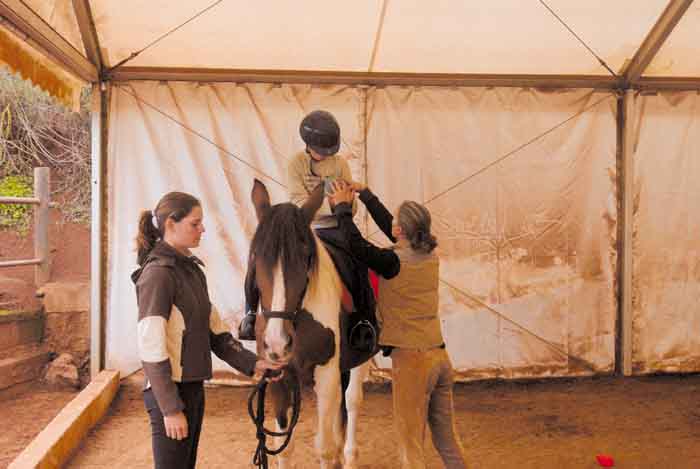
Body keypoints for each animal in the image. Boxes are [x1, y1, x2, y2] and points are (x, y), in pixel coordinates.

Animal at [249, 177, 374, 466]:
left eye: (305, 256)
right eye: (257, 256)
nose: (278, 343)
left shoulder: (325, 375)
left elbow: (323, 448)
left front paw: (334, 454)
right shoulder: (278, 377)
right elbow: (284, 448)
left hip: (359, 360)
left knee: (352, 400)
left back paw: (349, 456)